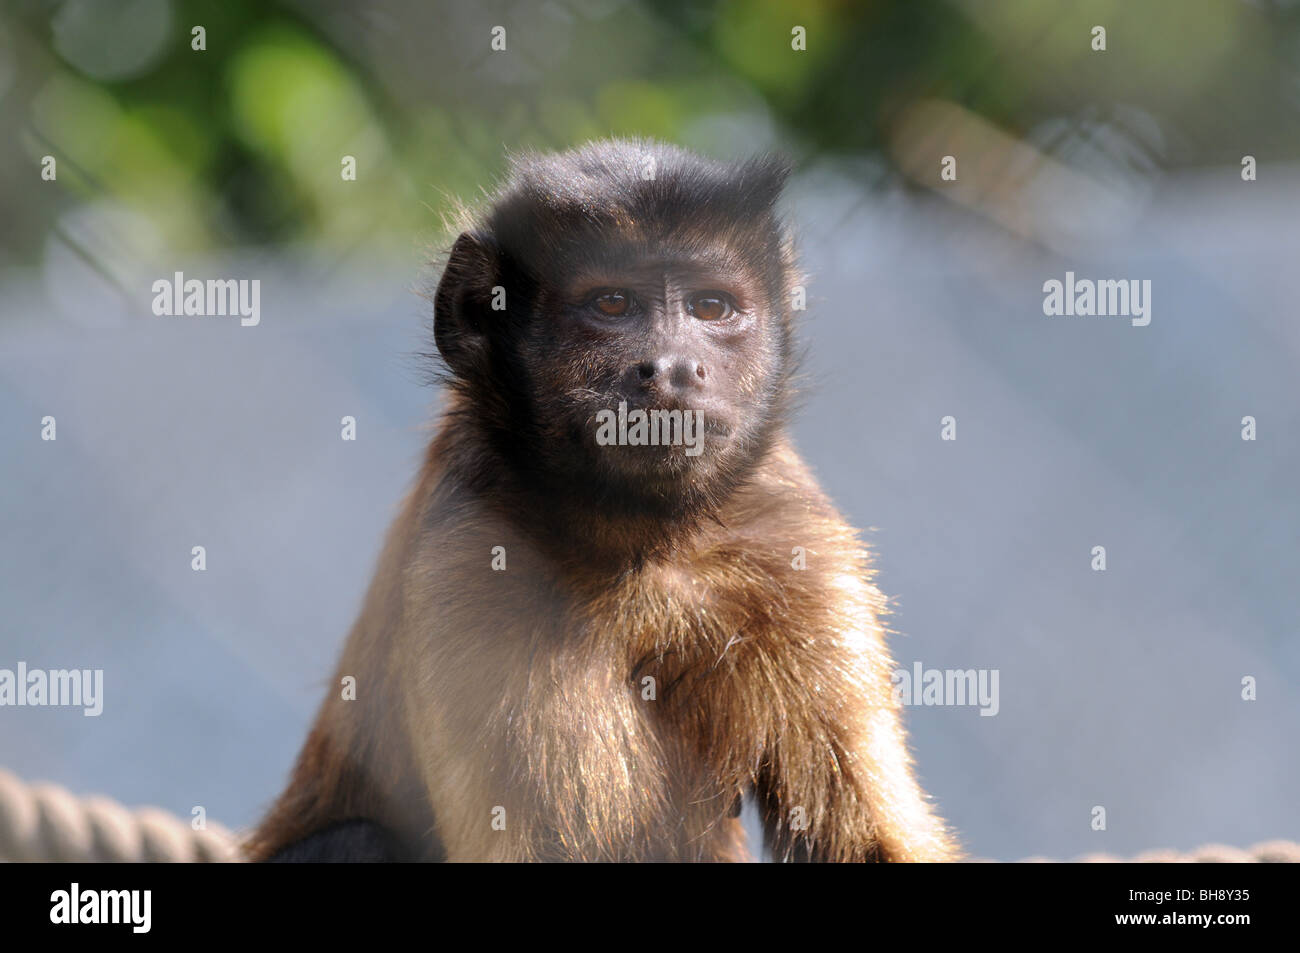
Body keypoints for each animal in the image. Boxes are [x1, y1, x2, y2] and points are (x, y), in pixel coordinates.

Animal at [245, 141, 956, 863]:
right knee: (356, 839)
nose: (673, 367)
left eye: (711, 307)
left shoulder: (795, 545)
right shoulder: (475, 561)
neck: (647, 545)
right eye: (613, 304)